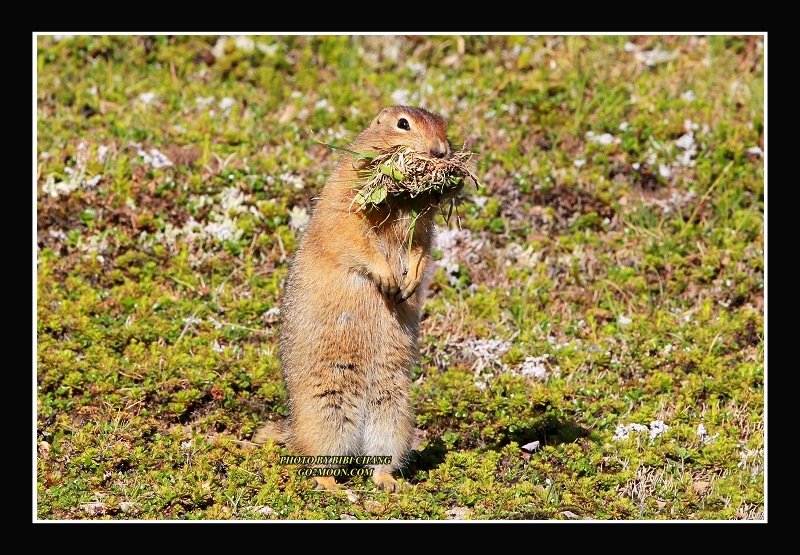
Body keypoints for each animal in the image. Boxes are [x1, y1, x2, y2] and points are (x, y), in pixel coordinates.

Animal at [253, 106, 459, 491]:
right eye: (403, 123)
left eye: (445, 125)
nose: (439, 151)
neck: (400, 199)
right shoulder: (346, 198)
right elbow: (353, 236)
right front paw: (389, 279)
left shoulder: (424, 223)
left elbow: (422, 246)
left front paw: (409, 282)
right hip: (324, 413)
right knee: (317, 461)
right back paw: (334, 487)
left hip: (394, 414)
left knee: (379, 459)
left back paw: (390, 482)